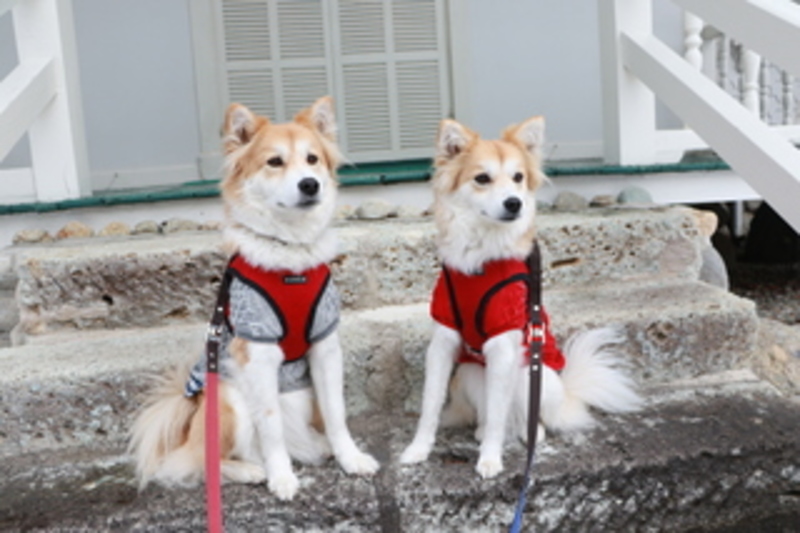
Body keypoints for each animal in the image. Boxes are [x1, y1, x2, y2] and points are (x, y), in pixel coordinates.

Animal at [128, 96, 379, 501]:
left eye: (312, 159)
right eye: (274, 162)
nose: (310, 184)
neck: (291, 258)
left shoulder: (325, 347)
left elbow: (337, 414)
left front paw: (350, 458)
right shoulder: (258, 354)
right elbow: (271, 427)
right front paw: (282, 478)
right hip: (227, 397)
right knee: (201, 462)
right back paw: (251, 470)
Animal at [399, 116, 642, 479]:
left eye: (518, 178)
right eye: (482, 178)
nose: (515, 202)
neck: (481, 259)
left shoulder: (503, 344)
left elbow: (499, 414)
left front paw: (490, 459)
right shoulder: (443, 340)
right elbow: (431, 404)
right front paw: (418, 450)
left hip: (534, 375)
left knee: (525, 419)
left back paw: (527, 434)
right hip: (471, 372)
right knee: (494, 415)